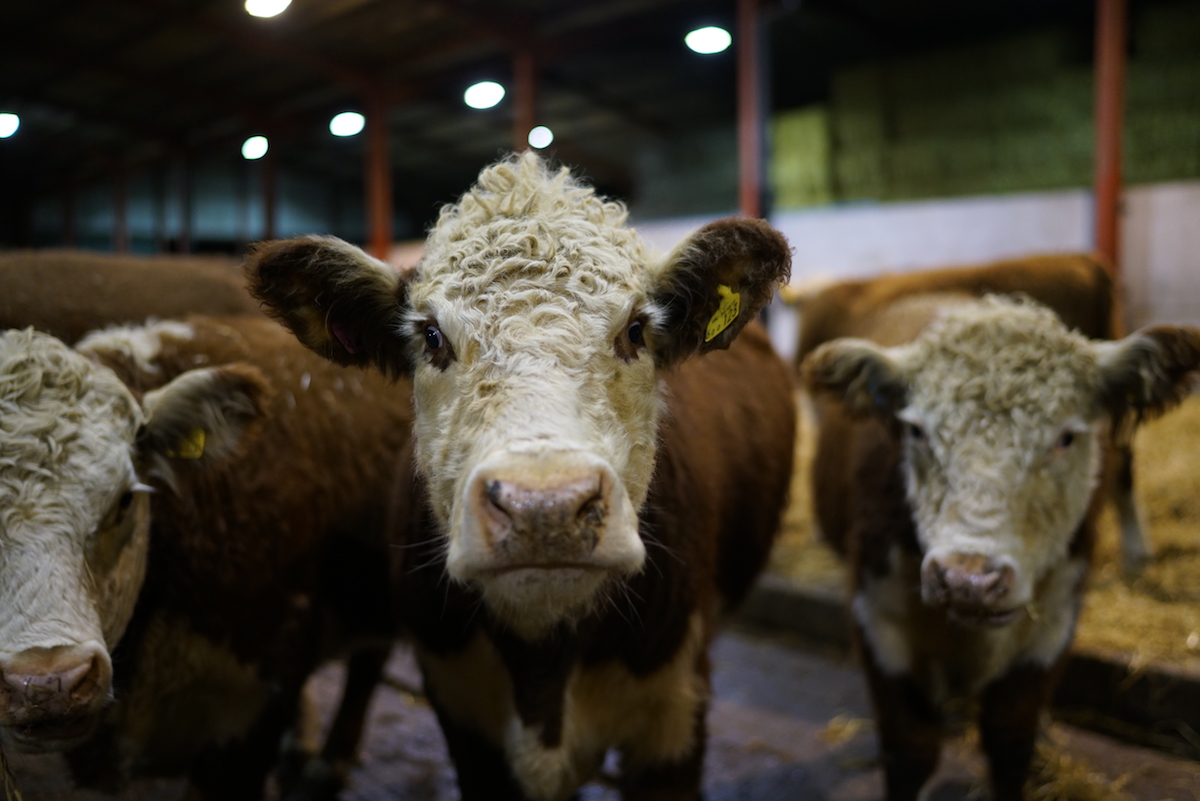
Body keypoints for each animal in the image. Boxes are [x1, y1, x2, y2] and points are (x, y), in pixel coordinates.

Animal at [242, 151, 796, 801]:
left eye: (636, 330)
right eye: (432, 337)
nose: (544, 509)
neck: (543, 667)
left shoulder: (675, 716)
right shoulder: (462, 714)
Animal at [801, 296, 1200, 801]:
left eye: (1066, 438)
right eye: (917, 432)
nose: (966, 580)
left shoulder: (1052, 625)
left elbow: (1010, 742)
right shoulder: (877, 618)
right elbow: (910, 751)